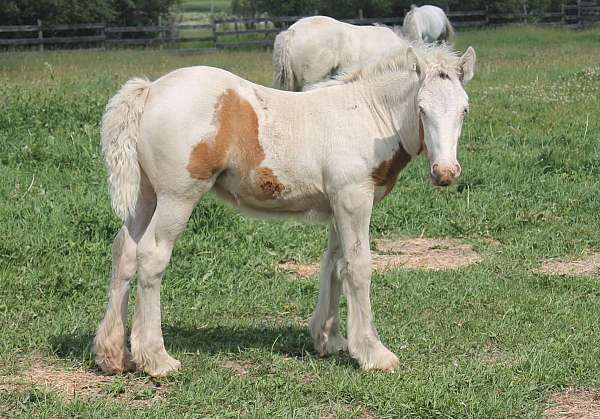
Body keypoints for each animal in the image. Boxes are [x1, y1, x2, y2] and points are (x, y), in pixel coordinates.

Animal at [94, 41, 476, 378]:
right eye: (422, 108)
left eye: (464, 110)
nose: (445, 172)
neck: (367, 117)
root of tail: (150, 90)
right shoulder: (354, 198)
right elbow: (358, 266)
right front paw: (373, 353)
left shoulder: (338, 204)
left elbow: (333, 265)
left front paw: (328, 339)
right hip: (178, 196)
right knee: (152, 256)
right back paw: (156, 359)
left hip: (146, 195)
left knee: (125, 250)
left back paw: (113, 355)